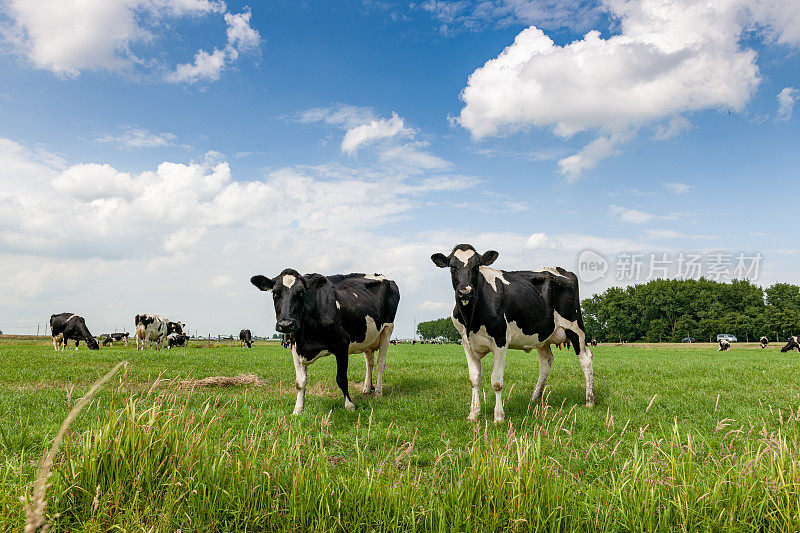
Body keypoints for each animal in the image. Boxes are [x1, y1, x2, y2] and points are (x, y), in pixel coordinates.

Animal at [250, 268, 400, 414]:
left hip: (387, 328)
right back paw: (367, 388)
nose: (286, 324)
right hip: (368, 335)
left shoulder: (342, 343)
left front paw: (349, 405)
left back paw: (378, 393)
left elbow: (342, 379)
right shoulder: (295, 347)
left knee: (380, 363)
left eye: (301, 292)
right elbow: (300, 382)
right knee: (369, 363)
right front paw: (297, 410)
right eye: (274, 293)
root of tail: (384, 277)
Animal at [432, 243, 592, 422]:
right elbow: (474, 379)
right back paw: (535, 397)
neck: (471, 320)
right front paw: (473, 414)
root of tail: (562, 270)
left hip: (576, 327)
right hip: (541, 335)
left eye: (476, 266)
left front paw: (498, 416)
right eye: (452, 267)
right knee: (546, 362)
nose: (465, 291)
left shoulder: (501, 341)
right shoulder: (467, 343)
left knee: (586, 359)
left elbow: (496, 381)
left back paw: (590, 400)